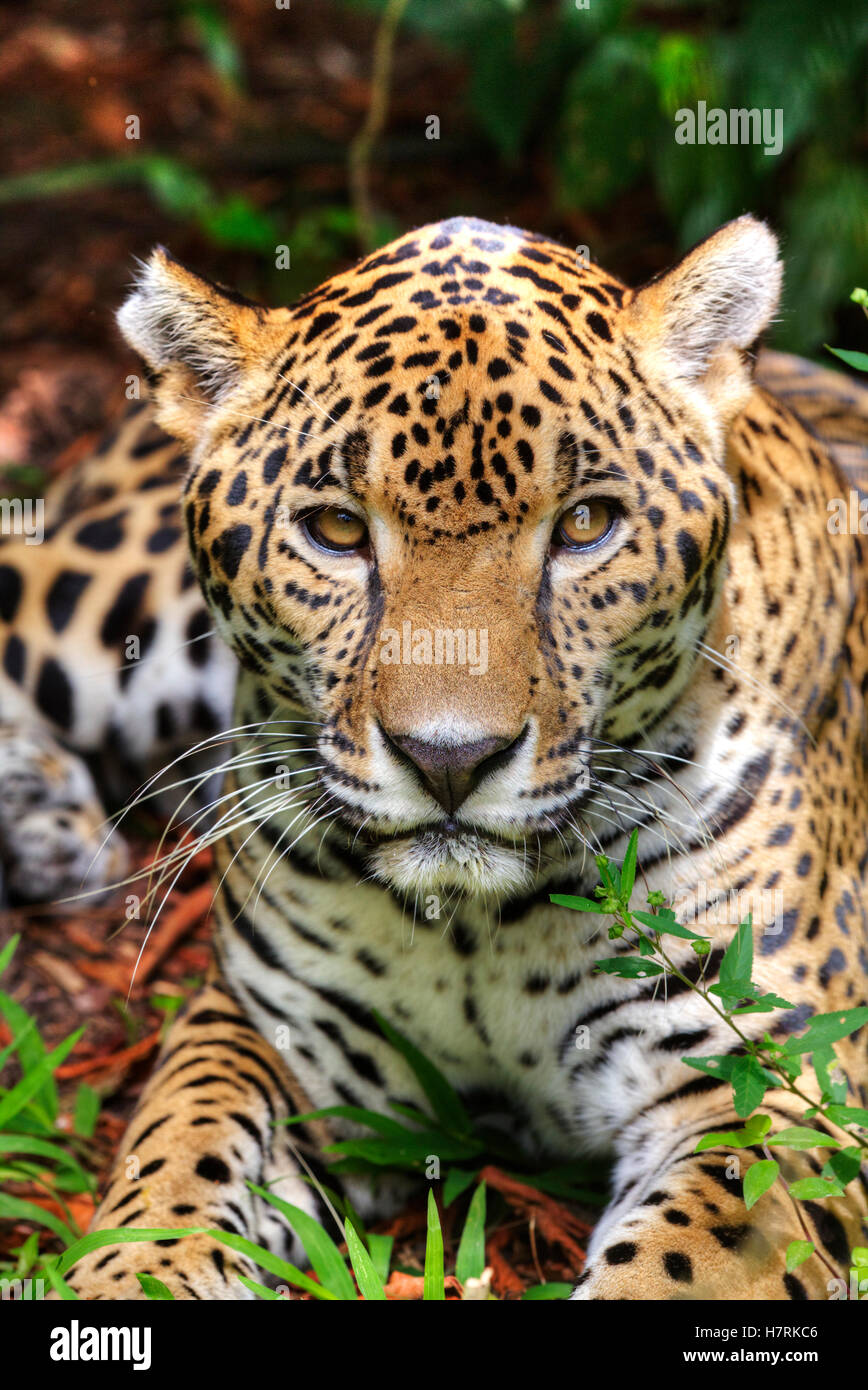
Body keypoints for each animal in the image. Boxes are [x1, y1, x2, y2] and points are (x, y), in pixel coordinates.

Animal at [1, 214, 867, 1300]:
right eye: (335, 528)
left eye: (586, 524)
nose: (450, 759)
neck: (480, 929)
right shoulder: (264, 1028)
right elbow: (180, 1159)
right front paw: (125, 1280)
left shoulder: (768, 1083)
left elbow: (687, 1259)